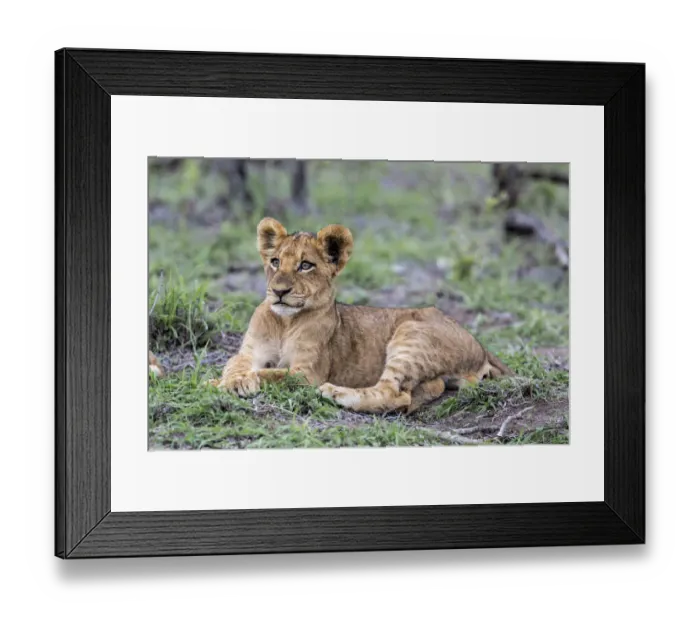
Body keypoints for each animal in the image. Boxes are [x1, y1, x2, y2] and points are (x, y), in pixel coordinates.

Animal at [207, 217, 513, 414]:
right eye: (275, 262)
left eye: (305, 265)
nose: (279, 291)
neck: (285, 321)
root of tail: (480, 345)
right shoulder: (249, 352)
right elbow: (235, 364)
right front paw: (223, 380)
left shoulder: (307, 373)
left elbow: (271, 374)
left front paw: (235, 383)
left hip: (412, 334)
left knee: (395, 394)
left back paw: (336, 392)